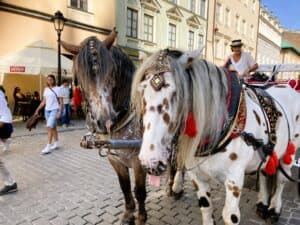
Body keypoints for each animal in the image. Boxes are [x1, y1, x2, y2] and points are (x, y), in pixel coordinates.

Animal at [60, 29, 183, 225]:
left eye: (112, 72)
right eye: (80, 77)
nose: (105, 121)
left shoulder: (139, 161)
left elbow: (139, 191)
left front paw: (141, 217)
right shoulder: (115, 159)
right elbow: (124, 187)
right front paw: (128, 214)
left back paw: (176, 187)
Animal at [131, 48, 300, 225]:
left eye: (177, 93)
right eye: (141, 91)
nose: (150, 162)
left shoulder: (234, 178)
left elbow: (230, 216)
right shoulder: (197, 176)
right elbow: (206, 207)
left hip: (291, 149)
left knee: (281, 180)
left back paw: (274, 209)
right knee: (264, 172)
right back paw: (262, 203)